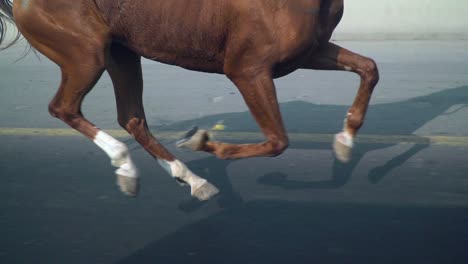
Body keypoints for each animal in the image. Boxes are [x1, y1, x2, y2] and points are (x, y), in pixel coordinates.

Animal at [0, 0, 380, 200]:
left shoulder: (310, 51)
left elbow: (369, 69)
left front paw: (345, 142)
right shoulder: (248, 69)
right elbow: (277, 141)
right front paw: (201, 141)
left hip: (121, 52)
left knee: (132, 118)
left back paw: (192, 180)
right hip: (85, 54)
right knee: (64, 108)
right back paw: (126, 164)